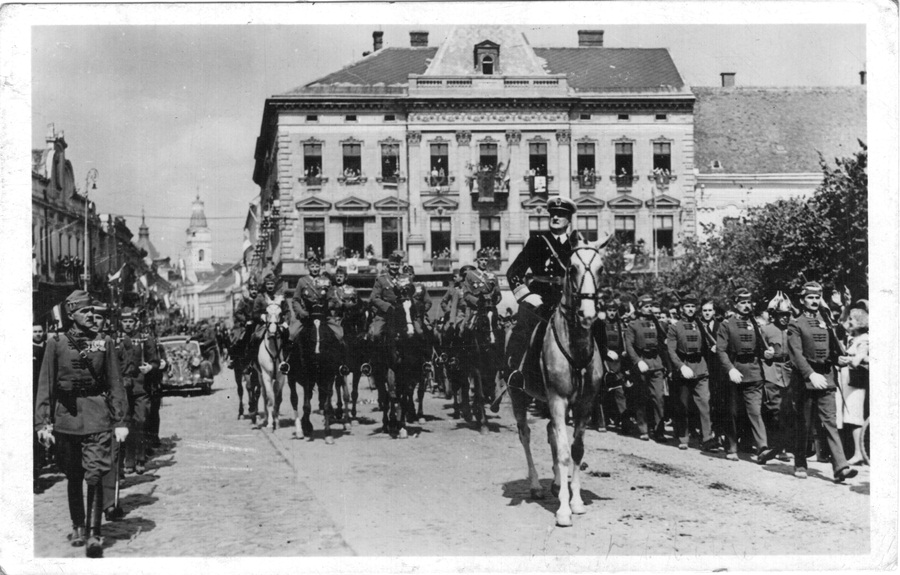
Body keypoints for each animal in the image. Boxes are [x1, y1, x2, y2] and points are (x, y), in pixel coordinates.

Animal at [255, 302, 298, 432]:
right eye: (267, 312)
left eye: (280, 314)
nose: (273, 332)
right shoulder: (266, 376)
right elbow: (270, 399)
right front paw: (270, 423)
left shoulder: (280, 377)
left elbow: (278, 400)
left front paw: (277, 422)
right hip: (260, 376)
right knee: (264, 395)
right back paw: (265, 419)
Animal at [288, 306, 344, 446]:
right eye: (310, 328)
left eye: (324, 327)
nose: (317, 352)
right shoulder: (307, 376)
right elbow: (306, 405)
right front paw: (307, 427)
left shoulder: (329, 376)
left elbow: (326, 405)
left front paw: (328, 434)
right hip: (291, 377)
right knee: (295, 399)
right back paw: (300, 430)